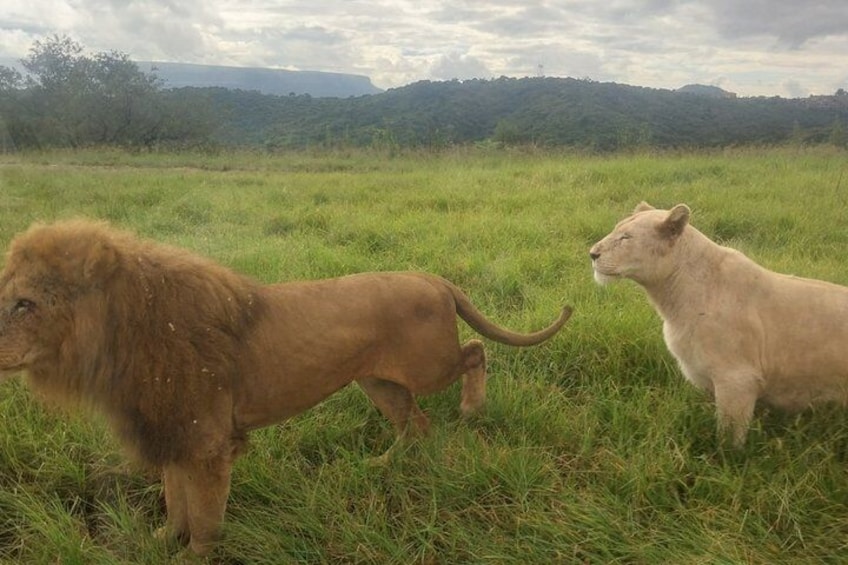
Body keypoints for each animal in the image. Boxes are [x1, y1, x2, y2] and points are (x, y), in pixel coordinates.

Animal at [0, 219, 571, 555]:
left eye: (25, 304)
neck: (119, 340)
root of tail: (433, 278)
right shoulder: (176, 436)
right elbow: (174, 502)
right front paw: (161, 540)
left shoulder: (208, 445)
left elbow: (203, 519)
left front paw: (192, 556)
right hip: (379, 382)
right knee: (418, 424)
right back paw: (383, 465)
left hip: (427, 366)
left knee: (475, 353)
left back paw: (473, 408)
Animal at [590, 202, 848, 447]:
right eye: (616, 229)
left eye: (626, 237)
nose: (592, 253)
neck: (672, 300)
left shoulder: (738, 380)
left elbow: (728, 439)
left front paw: (724, 458)